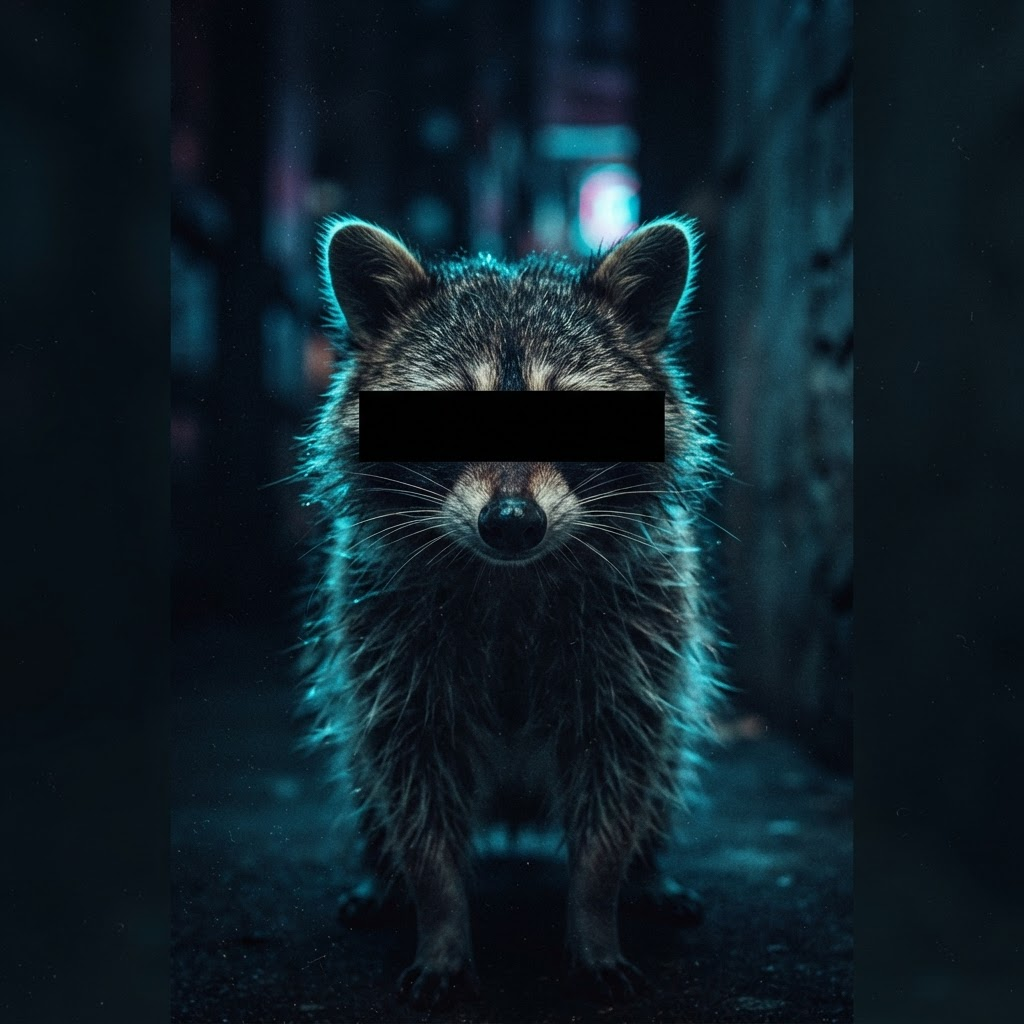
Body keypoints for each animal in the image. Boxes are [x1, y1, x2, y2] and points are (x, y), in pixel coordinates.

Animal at [299, 215, 727, 1008]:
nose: (511, 523)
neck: (511, 576)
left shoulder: (640, 621)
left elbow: (620, 768)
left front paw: (596, 911)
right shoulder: (384, 627)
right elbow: (411, 772)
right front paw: (438, 916)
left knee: (665, 763)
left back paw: (648, 870)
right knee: (365, 766)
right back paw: (381, 871)